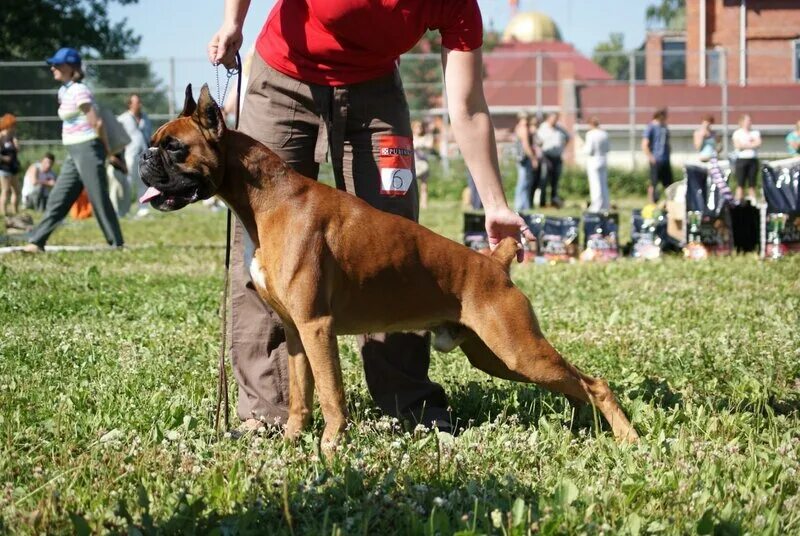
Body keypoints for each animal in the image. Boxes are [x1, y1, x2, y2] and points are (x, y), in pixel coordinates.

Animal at [138, 86, 636, 448]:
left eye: (175, 147)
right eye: (155, 144)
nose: (143, 157)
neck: (270, 199)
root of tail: (493, 261)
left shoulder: (317, 328)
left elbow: (331, 395)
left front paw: (331, 449)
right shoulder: (296, 332)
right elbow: (300, 395)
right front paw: (292, 442)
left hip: (518, 349)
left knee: (596, 383)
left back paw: (627, 439)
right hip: (498, 357)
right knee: (576, 385)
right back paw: (588, 426)